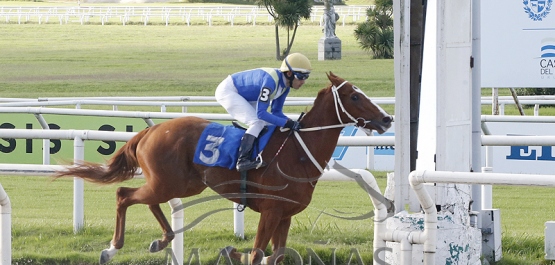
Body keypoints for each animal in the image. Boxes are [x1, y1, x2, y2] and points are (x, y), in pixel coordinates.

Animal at [54, 71, 394, 262]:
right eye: (354, 96)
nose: (386, 118)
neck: (298, 151)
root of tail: (151, 130)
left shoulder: (285, 215)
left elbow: (276, 255)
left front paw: (233, 251)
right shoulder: (271, 211)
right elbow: (257, 254)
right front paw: (235, 252)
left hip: (181, 183)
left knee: (149, 200)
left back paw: (162, 239)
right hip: (171, 182)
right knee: (124, 194)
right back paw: (112, 248)